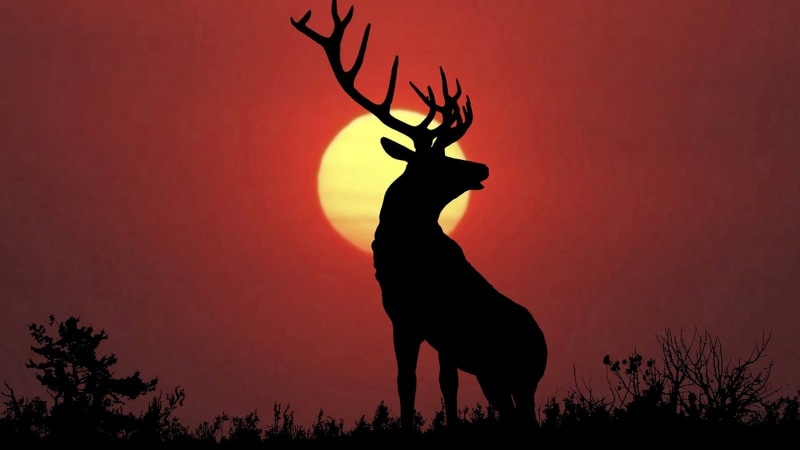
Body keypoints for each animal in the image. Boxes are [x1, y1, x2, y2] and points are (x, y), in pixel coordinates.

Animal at [291, 0, 547, 430]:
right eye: (436, 161)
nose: (481, 167)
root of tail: (543, 349)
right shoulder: (420, 326)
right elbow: (428, 383)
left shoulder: (423, 319)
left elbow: (425, 383)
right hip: (503, 380)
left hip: (507, 376)